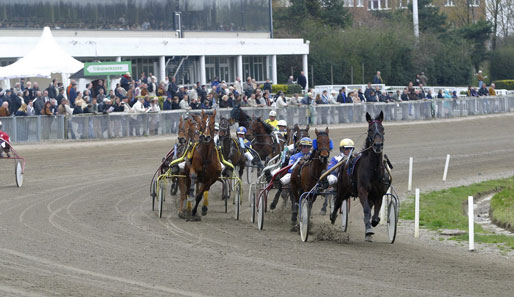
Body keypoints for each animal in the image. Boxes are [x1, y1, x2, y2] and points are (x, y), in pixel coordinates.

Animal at [330, 111, 386, 240]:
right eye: (370, 129)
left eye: (382, 128)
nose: (378, 145)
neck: (373, 170)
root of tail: (344, 163)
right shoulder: (362, 190)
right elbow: (366, 210)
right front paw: (369, 230)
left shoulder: (379, 194)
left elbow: (375, 215)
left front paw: (373, 223)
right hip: (342, 189)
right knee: (337, 202)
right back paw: (332, 217)